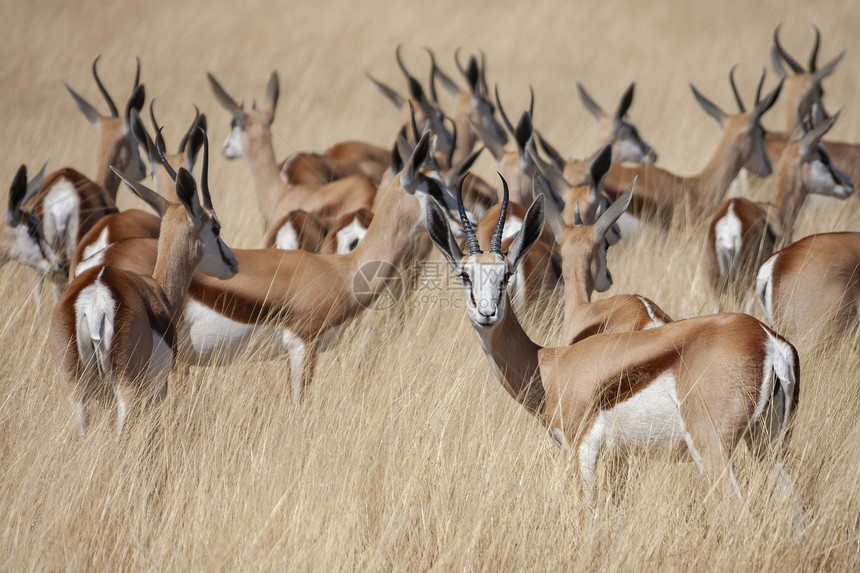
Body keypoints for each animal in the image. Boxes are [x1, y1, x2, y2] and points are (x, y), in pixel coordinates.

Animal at [50, 164, 239, 434]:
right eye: (215, 227)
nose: (233, 262)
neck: (158, 288)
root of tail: (95, 301)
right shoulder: (159, 390)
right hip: (126, 390)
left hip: (75, 391)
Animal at [424, 177, 800, 502]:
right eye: (465, 274)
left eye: (506, 274)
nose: (487, 313)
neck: (549, 366)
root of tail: (768, 340)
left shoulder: (582, 452)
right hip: (765, 445)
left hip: (713, 449)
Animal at [704, 110, 852, 310]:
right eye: (824, 158)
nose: (848, 185)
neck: (775, 211)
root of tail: (730, 217)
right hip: (749, 287)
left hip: (714, 288)